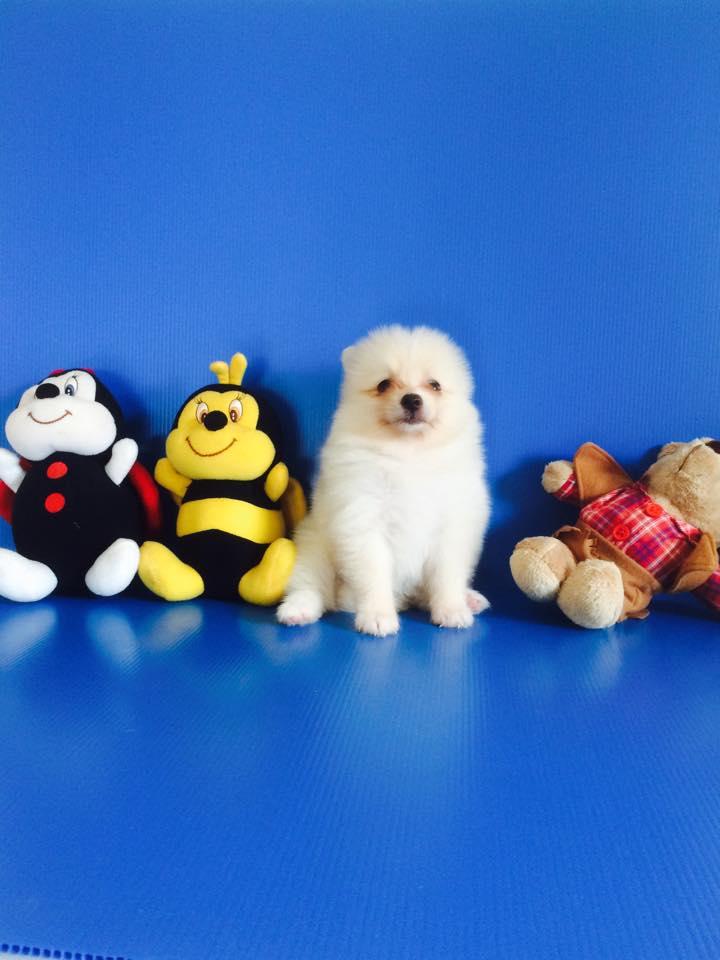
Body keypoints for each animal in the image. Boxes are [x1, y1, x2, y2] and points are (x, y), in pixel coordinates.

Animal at [277, 325, 490, 636]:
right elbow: (373, 574)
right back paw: (298, 610)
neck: (408, 452)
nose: (411, 399)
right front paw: (377, 616)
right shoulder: (363, 518)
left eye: (434, 385)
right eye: (383, 385)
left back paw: (469, 598)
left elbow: (446, 575)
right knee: (313, 587)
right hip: (313, 545)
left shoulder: (452, 524)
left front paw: (451, 610)